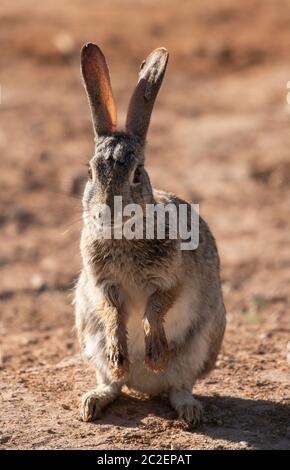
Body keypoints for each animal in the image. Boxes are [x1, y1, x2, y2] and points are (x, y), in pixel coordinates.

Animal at [75, 43, 227, 426]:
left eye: (137, 173)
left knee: (179, 386)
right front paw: (121, 354)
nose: (106, 211)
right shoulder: (102, 285)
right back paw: (98, 396)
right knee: (113, 382)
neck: (124, 236)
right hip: (87, 331)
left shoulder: (171, 280)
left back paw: (186, 408)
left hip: (203, 340)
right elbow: (113, 312)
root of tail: (144, 387)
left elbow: (156, 308)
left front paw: (155, 354)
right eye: (90, 172)